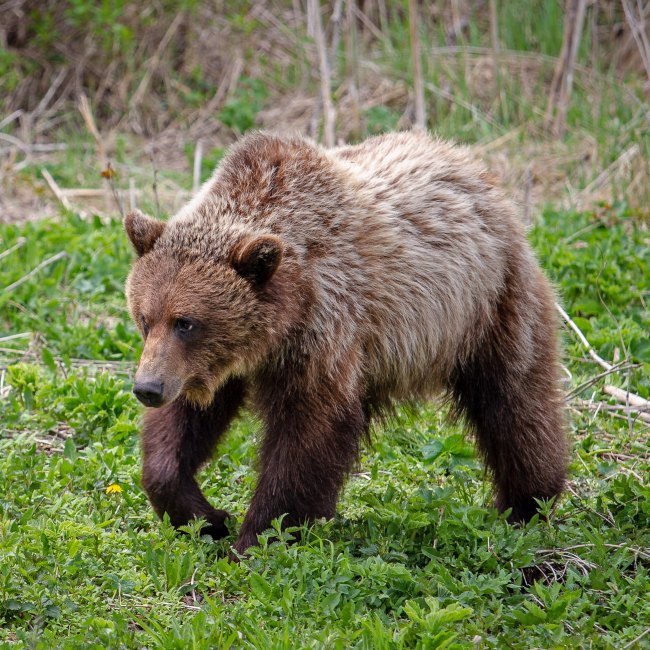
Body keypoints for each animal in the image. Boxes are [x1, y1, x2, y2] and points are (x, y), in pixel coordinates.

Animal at [124, 129, 564, 556]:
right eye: (145, 318)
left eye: (187, 322)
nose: (147, 388)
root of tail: (473, 166)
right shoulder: (209, 365)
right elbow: (185, 424)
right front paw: (208, 517)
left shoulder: (325, 324)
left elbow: (310, 432)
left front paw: (257, 539)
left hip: (489, 304)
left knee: (513, 400)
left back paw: (528, 503)